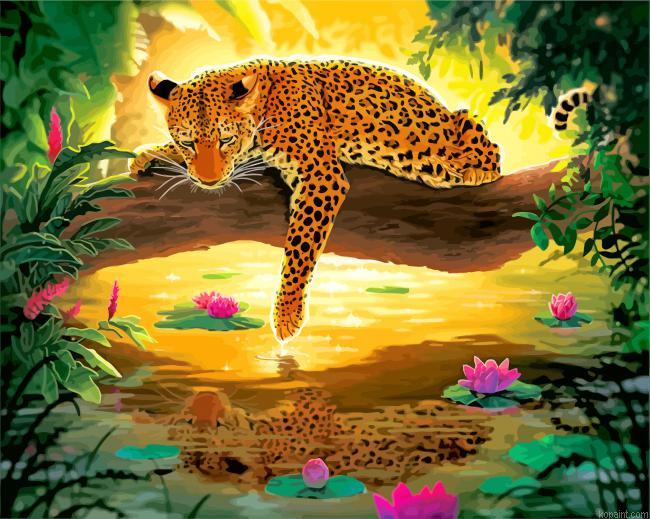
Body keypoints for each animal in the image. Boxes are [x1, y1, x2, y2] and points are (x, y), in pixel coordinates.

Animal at [129, 56, 502, 344]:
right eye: (188, 143)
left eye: (226, 139)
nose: (209, 181)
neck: (264, 107)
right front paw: (150, 154)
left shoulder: (320, 175)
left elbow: (300, 247)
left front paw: (286, 314)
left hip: (457, 135)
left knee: (489, 149)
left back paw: (475, 170)